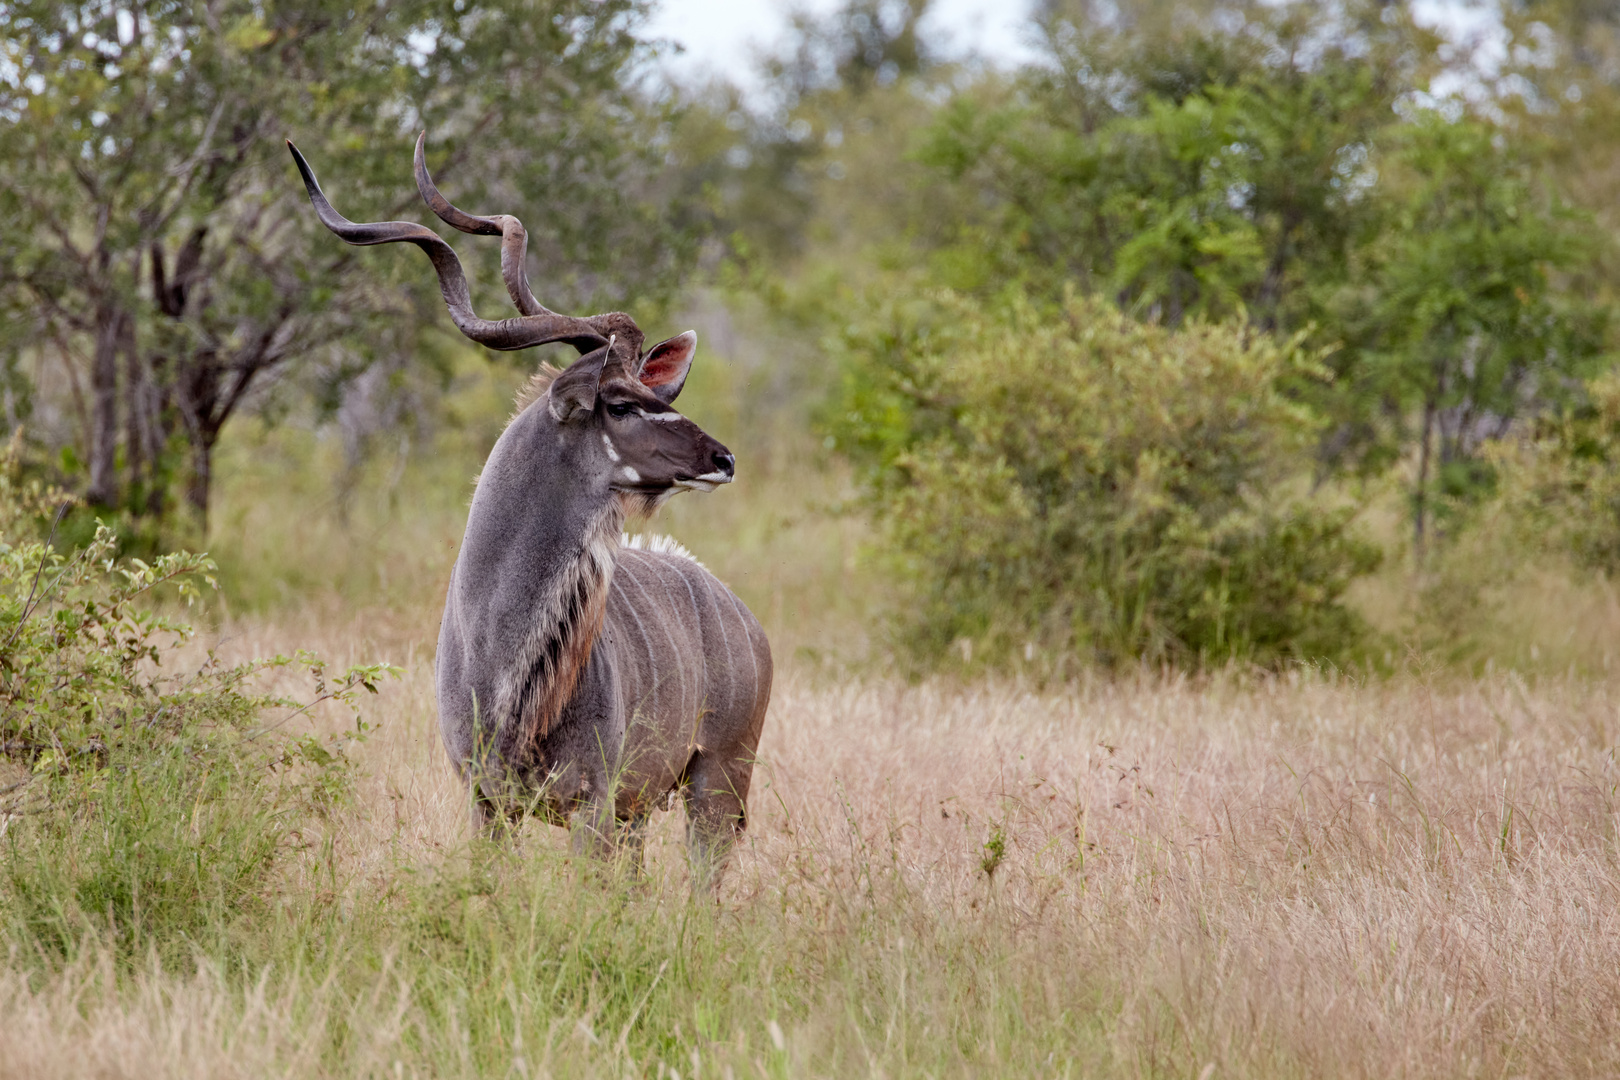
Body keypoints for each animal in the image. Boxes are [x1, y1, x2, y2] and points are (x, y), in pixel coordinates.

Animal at [289, 135, 771, 887]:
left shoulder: (593, 804)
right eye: (622, 403)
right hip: (646, 809)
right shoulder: (488, 801)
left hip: (718, 780)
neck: (499, 662)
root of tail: (743, 618)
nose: (721, 458)